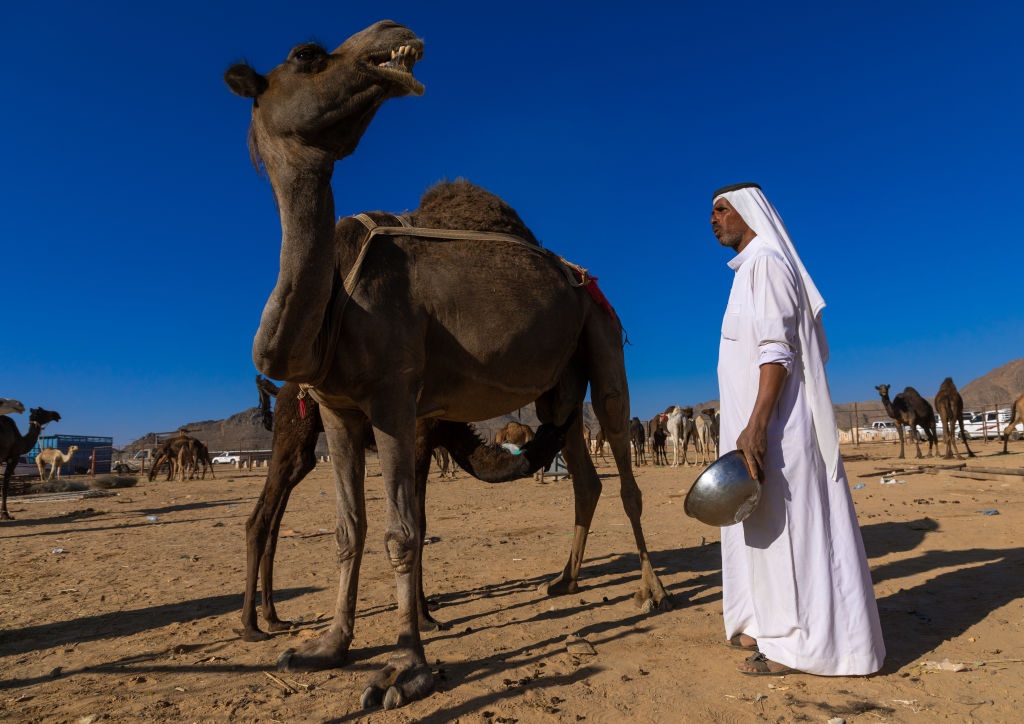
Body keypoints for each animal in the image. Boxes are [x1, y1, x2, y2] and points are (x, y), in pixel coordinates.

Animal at [240, 378, 569, 639]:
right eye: (554, 434)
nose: (566, 423)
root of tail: (280, 390)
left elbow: (421, 525)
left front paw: (425, 611)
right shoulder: (420, 442)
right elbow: (418, 525)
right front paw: (424, 619)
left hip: (304, 449)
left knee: (275, 517)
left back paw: (274, 619)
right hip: (293, 429)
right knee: (258, 518)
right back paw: (251, 627)